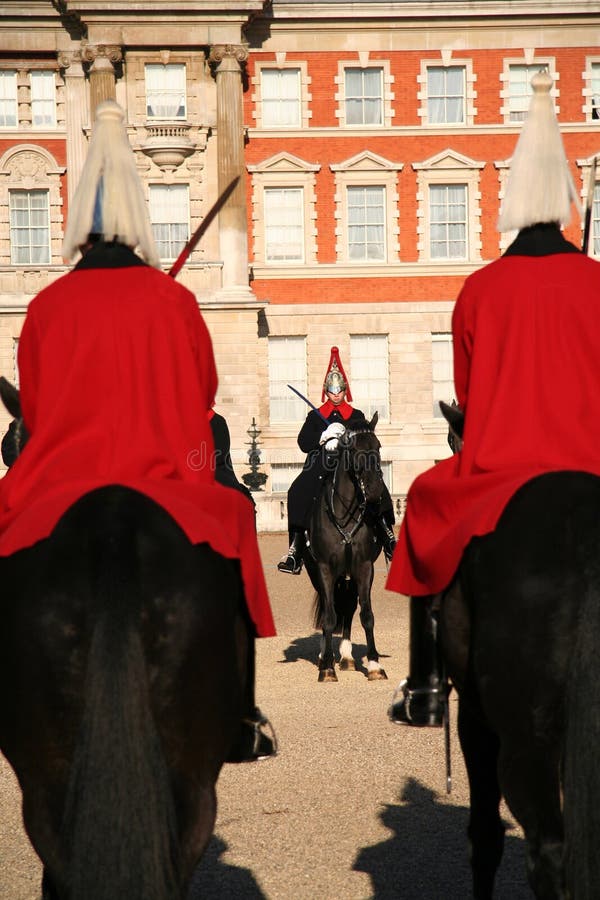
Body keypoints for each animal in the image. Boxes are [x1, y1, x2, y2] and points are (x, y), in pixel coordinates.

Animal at [304, 414, 390, 684]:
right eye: (352, 449)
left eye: (378, 446)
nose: (374, 491)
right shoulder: (324, 569)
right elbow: (330, 617)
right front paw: (326, 668)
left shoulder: (364, 567)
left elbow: (367, 615)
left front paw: (374, 665)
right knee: (329, 608)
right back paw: (326, 656)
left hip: (348, 574)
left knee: (349, 608)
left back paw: (347, 656)